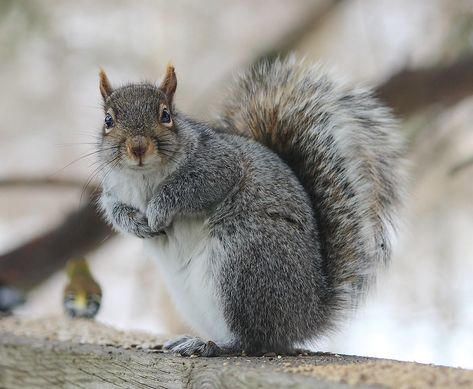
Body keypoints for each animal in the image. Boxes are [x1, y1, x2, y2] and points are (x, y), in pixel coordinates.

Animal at [95, 56, 402, 356]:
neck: (144, 177)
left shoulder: (218, 164)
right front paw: (136, 224)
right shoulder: (113, 191)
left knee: (253, 340)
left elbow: (190, 188)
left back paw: (211, 346)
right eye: (108, 121)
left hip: (244, 259)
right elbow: (114, 210)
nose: (138, 147)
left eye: (165, 115)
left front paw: (158, 211)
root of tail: (308, 315)